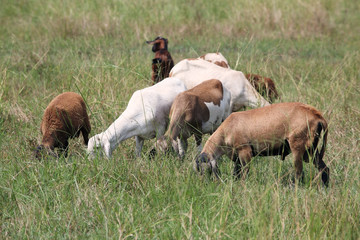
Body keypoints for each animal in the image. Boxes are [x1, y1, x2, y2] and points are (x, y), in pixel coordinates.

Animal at [197, 102, 330, 187]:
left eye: (205, 170)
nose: (203, 185)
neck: (225, 132)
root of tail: (317, 116)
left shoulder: (245, 151)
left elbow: (244, 173)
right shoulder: (237, 157)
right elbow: (236, 173)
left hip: (298, 146)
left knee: (299, 173)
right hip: (311, 149)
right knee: (324, 169)